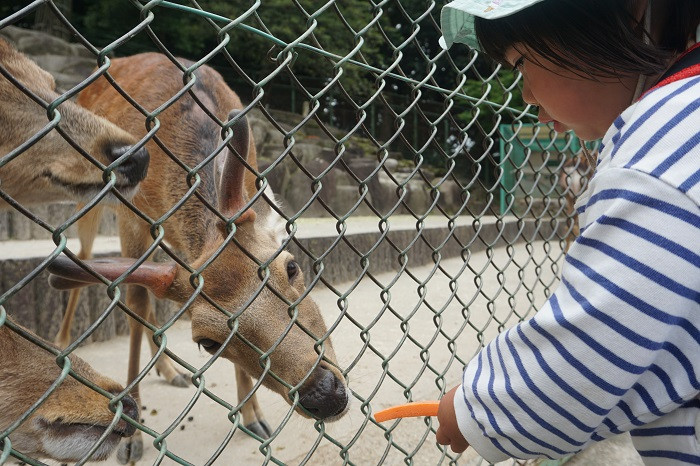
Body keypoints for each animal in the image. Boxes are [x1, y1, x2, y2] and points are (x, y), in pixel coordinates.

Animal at [50, 52, 350, 462]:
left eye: (291, 267)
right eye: (208, 343)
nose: (324, 394)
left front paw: (253, 416)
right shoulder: (132, 217)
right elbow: (134, 301)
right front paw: (131, 439)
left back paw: (167, 370)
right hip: (91, 201)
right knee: (86, 259)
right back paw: (63, 342)